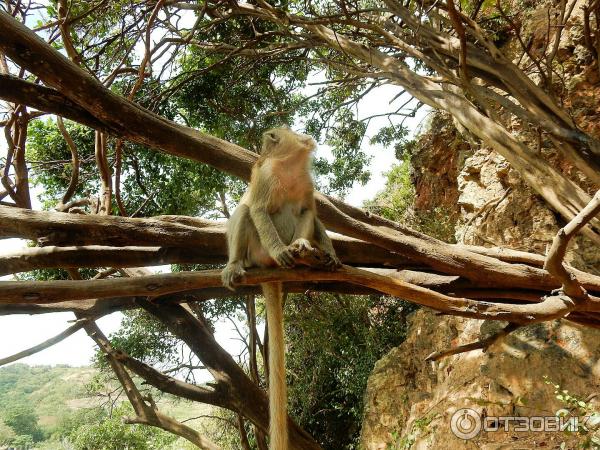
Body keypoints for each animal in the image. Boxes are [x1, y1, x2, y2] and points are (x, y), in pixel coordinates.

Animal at [221, 127, 342, 450]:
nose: (305, 135)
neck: (289, 167)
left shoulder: (308, 184)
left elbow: (310, 212)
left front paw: (328, 252)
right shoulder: (265, 178)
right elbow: (259, 210)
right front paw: (280, 249)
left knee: (304, 214)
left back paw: (302, 249)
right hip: (255, 251)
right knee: (245, 212)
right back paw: (242, 263)